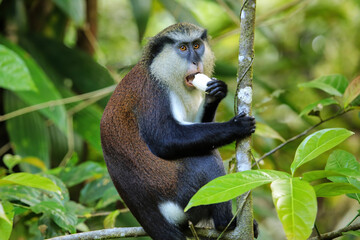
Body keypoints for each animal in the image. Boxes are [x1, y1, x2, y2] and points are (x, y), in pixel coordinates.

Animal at [100, 21, 255, 239]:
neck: (159, 71)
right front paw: (236, 126)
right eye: (182, 48)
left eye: (197, 45)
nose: (196, 60)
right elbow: (165, 140)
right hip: (184, 199)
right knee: (207, 159)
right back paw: (225, 223)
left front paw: (215, 93)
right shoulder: (153, 94)